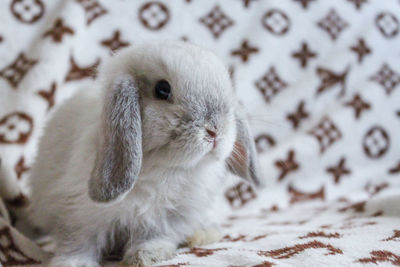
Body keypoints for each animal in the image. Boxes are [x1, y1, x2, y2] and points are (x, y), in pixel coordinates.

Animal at [28, 40, 262, 267]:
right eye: (162, 90)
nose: (215, 131)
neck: (160, 169)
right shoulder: (78, 213)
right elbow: (78, 241)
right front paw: (72, 263)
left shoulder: (167, 216)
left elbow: (154, 236)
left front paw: (145, 256)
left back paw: (202, 234)